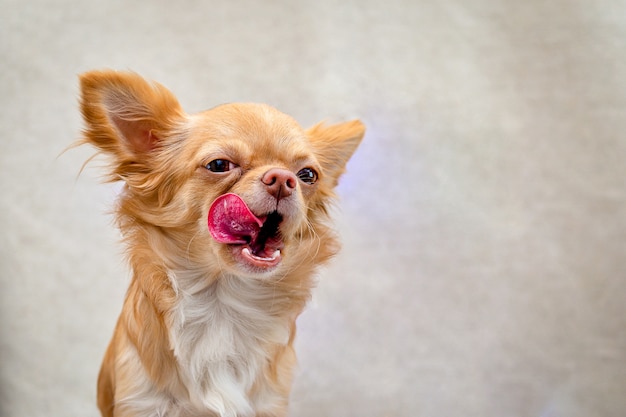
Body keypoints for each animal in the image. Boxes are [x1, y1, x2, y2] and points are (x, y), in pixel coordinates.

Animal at [78, 71, 364, 416]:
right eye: (219, 165)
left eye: (308, 175)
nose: (283, 179)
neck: (222, 303)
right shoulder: (142, 402)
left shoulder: (269, 404)